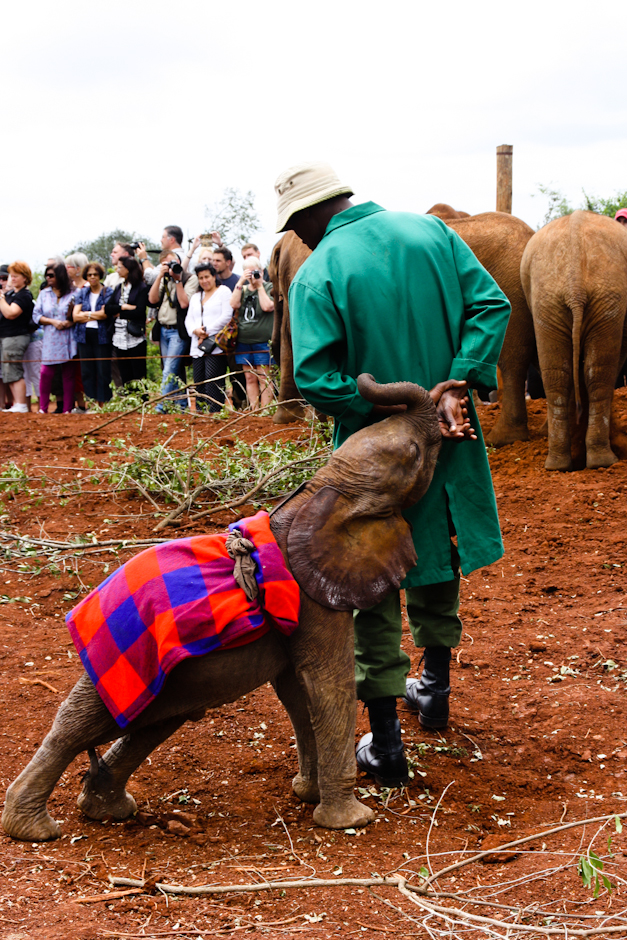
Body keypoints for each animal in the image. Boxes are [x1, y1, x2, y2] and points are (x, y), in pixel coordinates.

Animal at [3, 370, 446, 840]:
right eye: (414, 454)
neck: (324, 487)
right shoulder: (316, 600)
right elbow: (328, 684)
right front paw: (352, 821)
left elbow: (296, 689)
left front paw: (306, 794)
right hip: (123, 659)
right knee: (80, 725)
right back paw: (34, 830)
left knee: (151, 723)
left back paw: (105, 810)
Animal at [520, 207, 627, 468]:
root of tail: (574, 288)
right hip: (606, 296)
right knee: (599, 373)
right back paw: (603, 462)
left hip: (548, 300)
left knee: (558, 375)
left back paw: (559, 464)